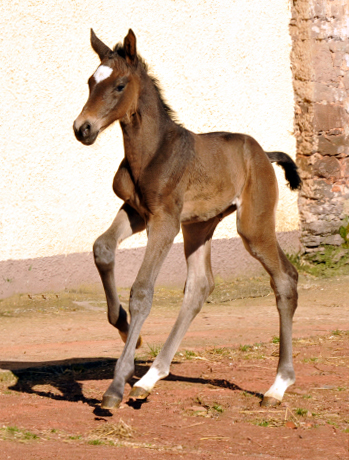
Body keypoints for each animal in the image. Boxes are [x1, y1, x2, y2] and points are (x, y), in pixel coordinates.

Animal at [74, 29, 302, 410]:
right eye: (91, 82)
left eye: (119, 85)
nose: (83, 128)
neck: (151, 152)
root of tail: (263, 153)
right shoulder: (136, 212)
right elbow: (102, 248)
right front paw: (125, 330)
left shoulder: (163, 221)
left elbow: (142, 291)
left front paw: (116, 386)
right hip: (198, 226)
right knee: (199, 286)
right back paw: (149, 379)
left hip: (252, 226)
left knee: (285, 278)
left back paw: (278, 385)